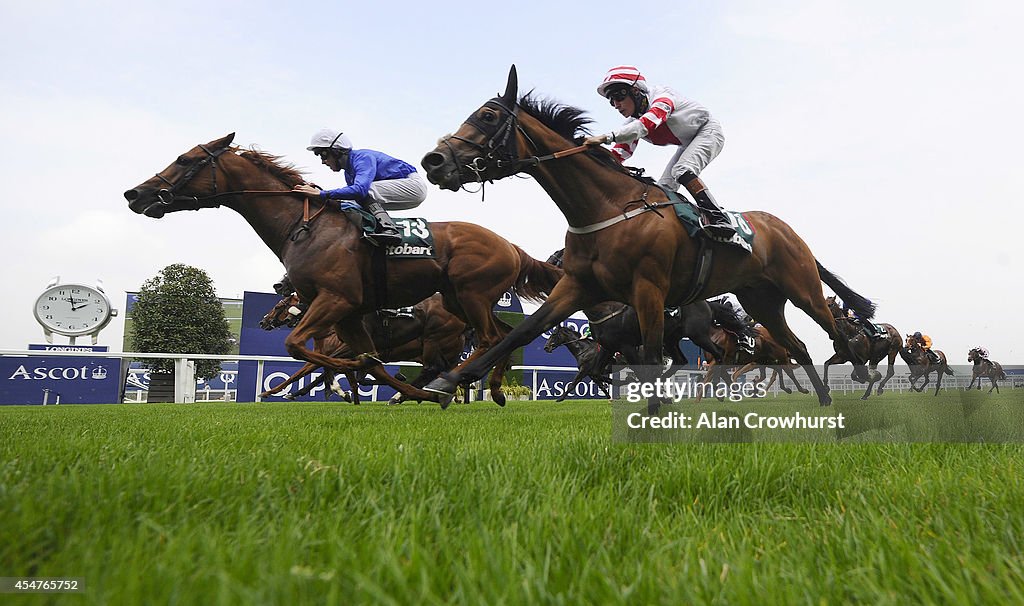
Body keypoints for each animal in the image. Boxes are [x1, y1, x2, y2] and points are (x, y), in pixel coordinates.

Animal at [260, 292, 468, 405]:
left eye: (278, 306)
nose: (263, 322)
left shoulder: (347, 351)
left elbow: (311, 370)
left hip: (435, 344)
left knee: (435, 371)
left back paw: (402, 395)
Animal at [419, 65, 876, 411]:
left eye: (488, 117)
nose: (433, 161)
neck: (606, 209)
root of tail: (785, 229)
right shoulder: (576, 286)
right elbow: (523, 332)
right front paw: (449, 381)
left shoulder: (649, 289)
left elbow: (653, 356)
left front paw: (655, 413)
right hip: (760, 300)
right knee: (797, 346)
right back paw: (823, 402)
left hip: (801, 288)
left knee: (832, 326)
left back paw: (858, 370)